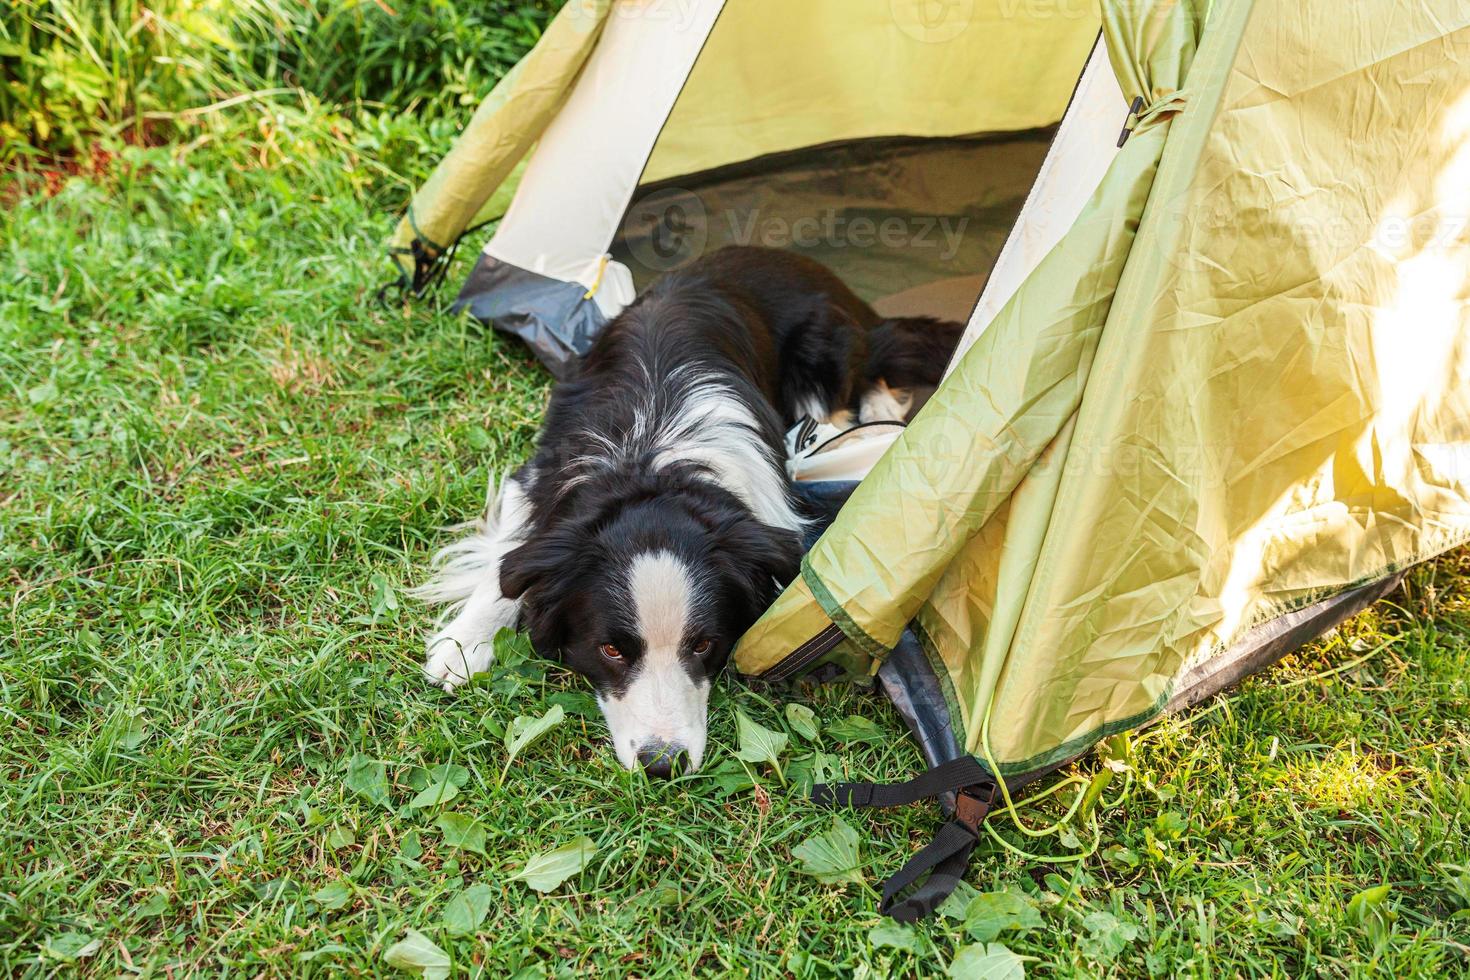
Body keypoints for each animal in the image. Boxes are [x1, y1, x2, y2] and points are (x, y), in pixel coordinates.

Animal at [420, 243, 958, 775]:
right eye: (611, 649)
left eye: (702, 644)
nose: (663, 764)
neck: (654, 463)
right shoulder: (536, 479)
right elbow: (508, 563)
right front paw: (462, 646)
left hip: (825, 351)